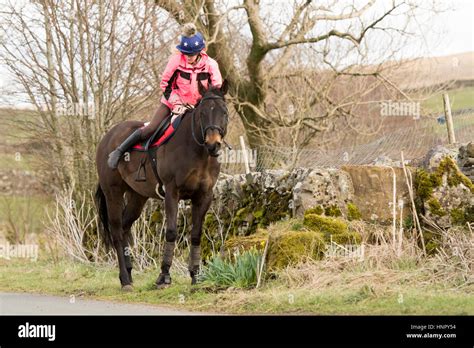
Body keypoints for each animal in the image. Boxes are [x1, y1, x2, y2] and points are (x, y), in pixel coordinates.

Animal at [94, 80, 228, 290]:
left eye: (224, 112)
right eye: (203, 113)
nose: (213, 144)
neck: (198, 152)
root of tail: (108, 137)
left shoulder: (203, 196)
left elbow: (196, 234)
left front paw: (195, 276)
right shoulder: (172, 193)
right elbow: (171, 232)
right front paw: (164, 276)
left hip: (137, 196)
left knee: (125, 226)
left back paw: (129, 272)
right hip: (113, 193)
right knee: (116, 231)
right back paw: (125, 279)